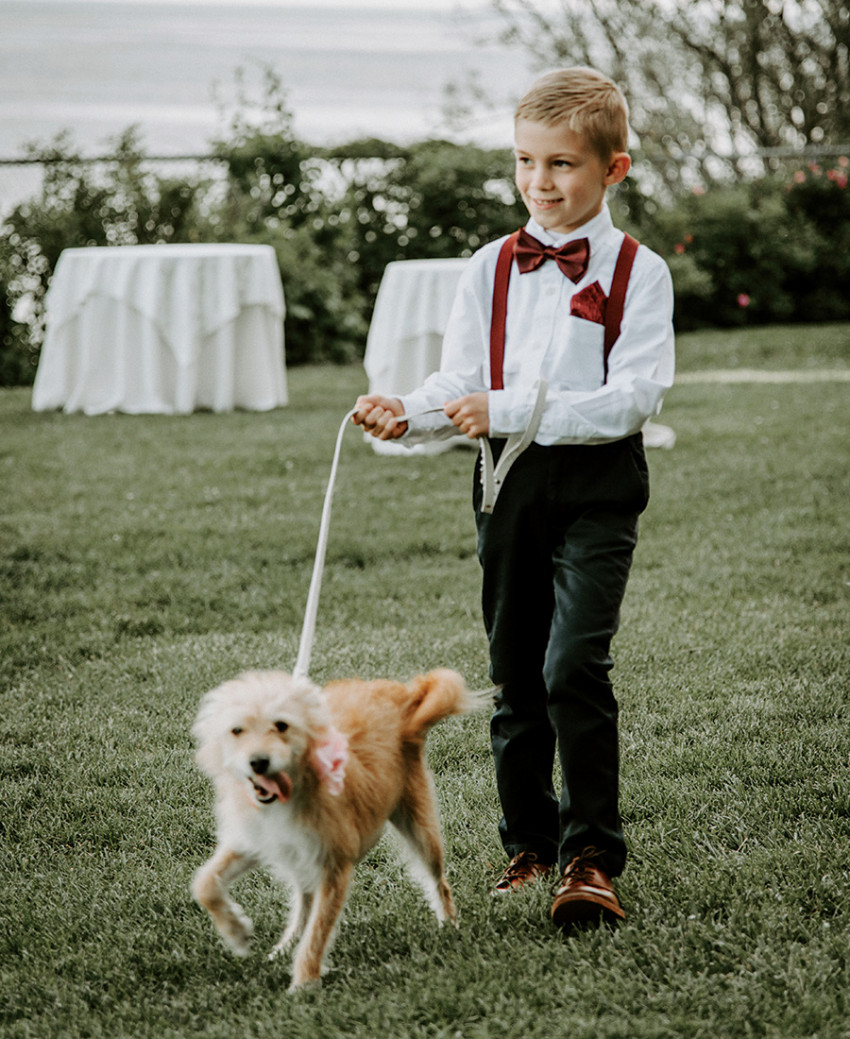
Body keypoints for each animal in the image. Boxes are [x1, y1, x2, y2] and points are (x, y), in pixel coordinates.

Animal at [189, 664, 477, 989]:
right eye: (236, 730)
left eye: (281, 725)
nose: (258, 762)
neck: (295, 789)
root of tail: (401, 695)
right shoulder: (256, 841)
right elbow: (204, 884)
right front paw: (236, 932)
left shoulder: (334, 867)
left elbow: (318, 933)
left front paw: (303, 983)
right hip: (301, 857)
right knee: (303, 902)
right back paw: (286, 944)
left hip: (420, 830)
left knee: (438, 880)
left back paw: (449, 922)